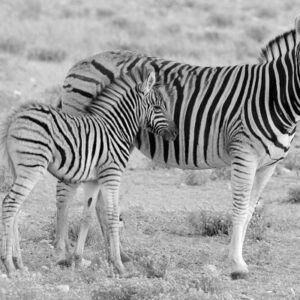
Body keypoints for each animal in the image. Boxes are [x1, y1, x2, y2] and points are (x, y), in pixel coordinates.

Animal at [0, 71, 178, 276]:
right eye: (157, 107)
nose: (175, 134)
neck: (117, 129)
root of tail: (15, 116)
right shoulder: (111, 175)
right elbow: (112, 215)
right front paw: (119, 265)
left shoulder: (94, 180)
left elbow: (87, 216)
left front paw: (78, 259)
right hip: (32, 167)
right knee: (10, 204)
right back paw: (9, 265)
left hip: (19, 169)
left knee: (16, 209)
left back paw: (19, 263)